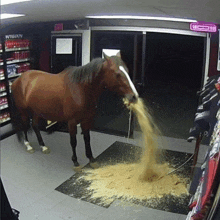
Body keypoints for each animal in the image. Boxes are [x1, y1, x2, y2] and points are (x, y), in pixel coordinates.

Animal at [10, 52, 138, 168]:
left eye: (127, 71)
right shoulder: (71, 122)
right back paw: (28, 145)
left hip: (37, 111)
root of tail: (18, 80)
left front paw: (91, 158)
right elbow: (73, 141)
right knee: (25, 126)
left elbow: (87, 138)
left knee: (35, 126)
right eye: (117, 74)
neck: (80, 88)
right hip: (24, 112)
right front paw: (75, 161)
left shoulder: (86, 120)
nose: (134, 96)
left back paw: (43, 146)